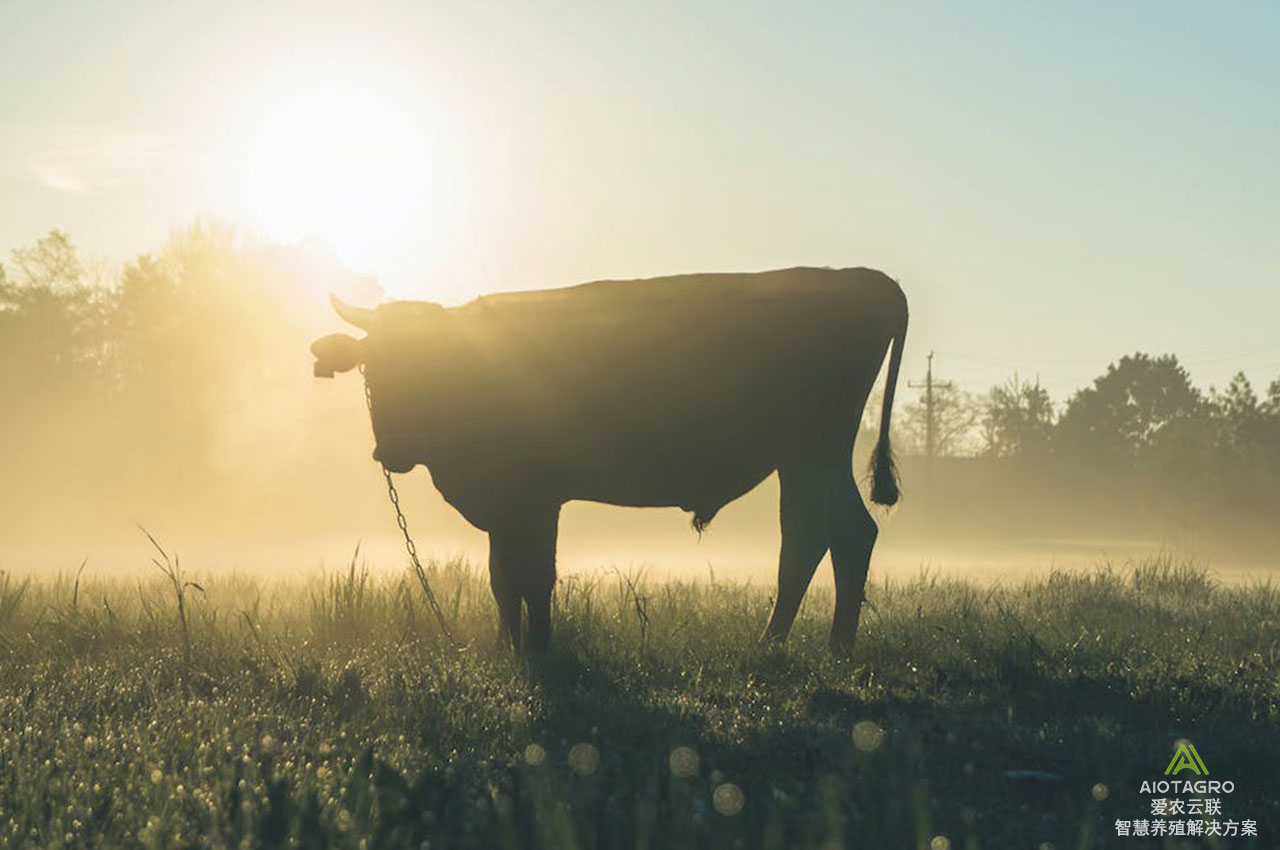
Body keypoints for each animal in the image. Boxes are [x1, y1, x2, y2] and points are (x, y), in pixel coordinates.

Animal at [312, 268, 911, 652]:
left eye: (433, 362)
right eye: (372, 367)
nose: (398, 446)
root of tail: (864, 278)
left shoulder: (535, 499)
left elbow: (536, 576)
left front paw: (541, 651)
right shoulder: (504, 506)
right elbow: (501, 578)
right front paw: (507, 648)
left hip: (814, 450)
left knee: (835, 535)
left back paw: (815, 648)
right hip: (803, 459)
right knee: (821, 536)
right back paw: (796, 645)